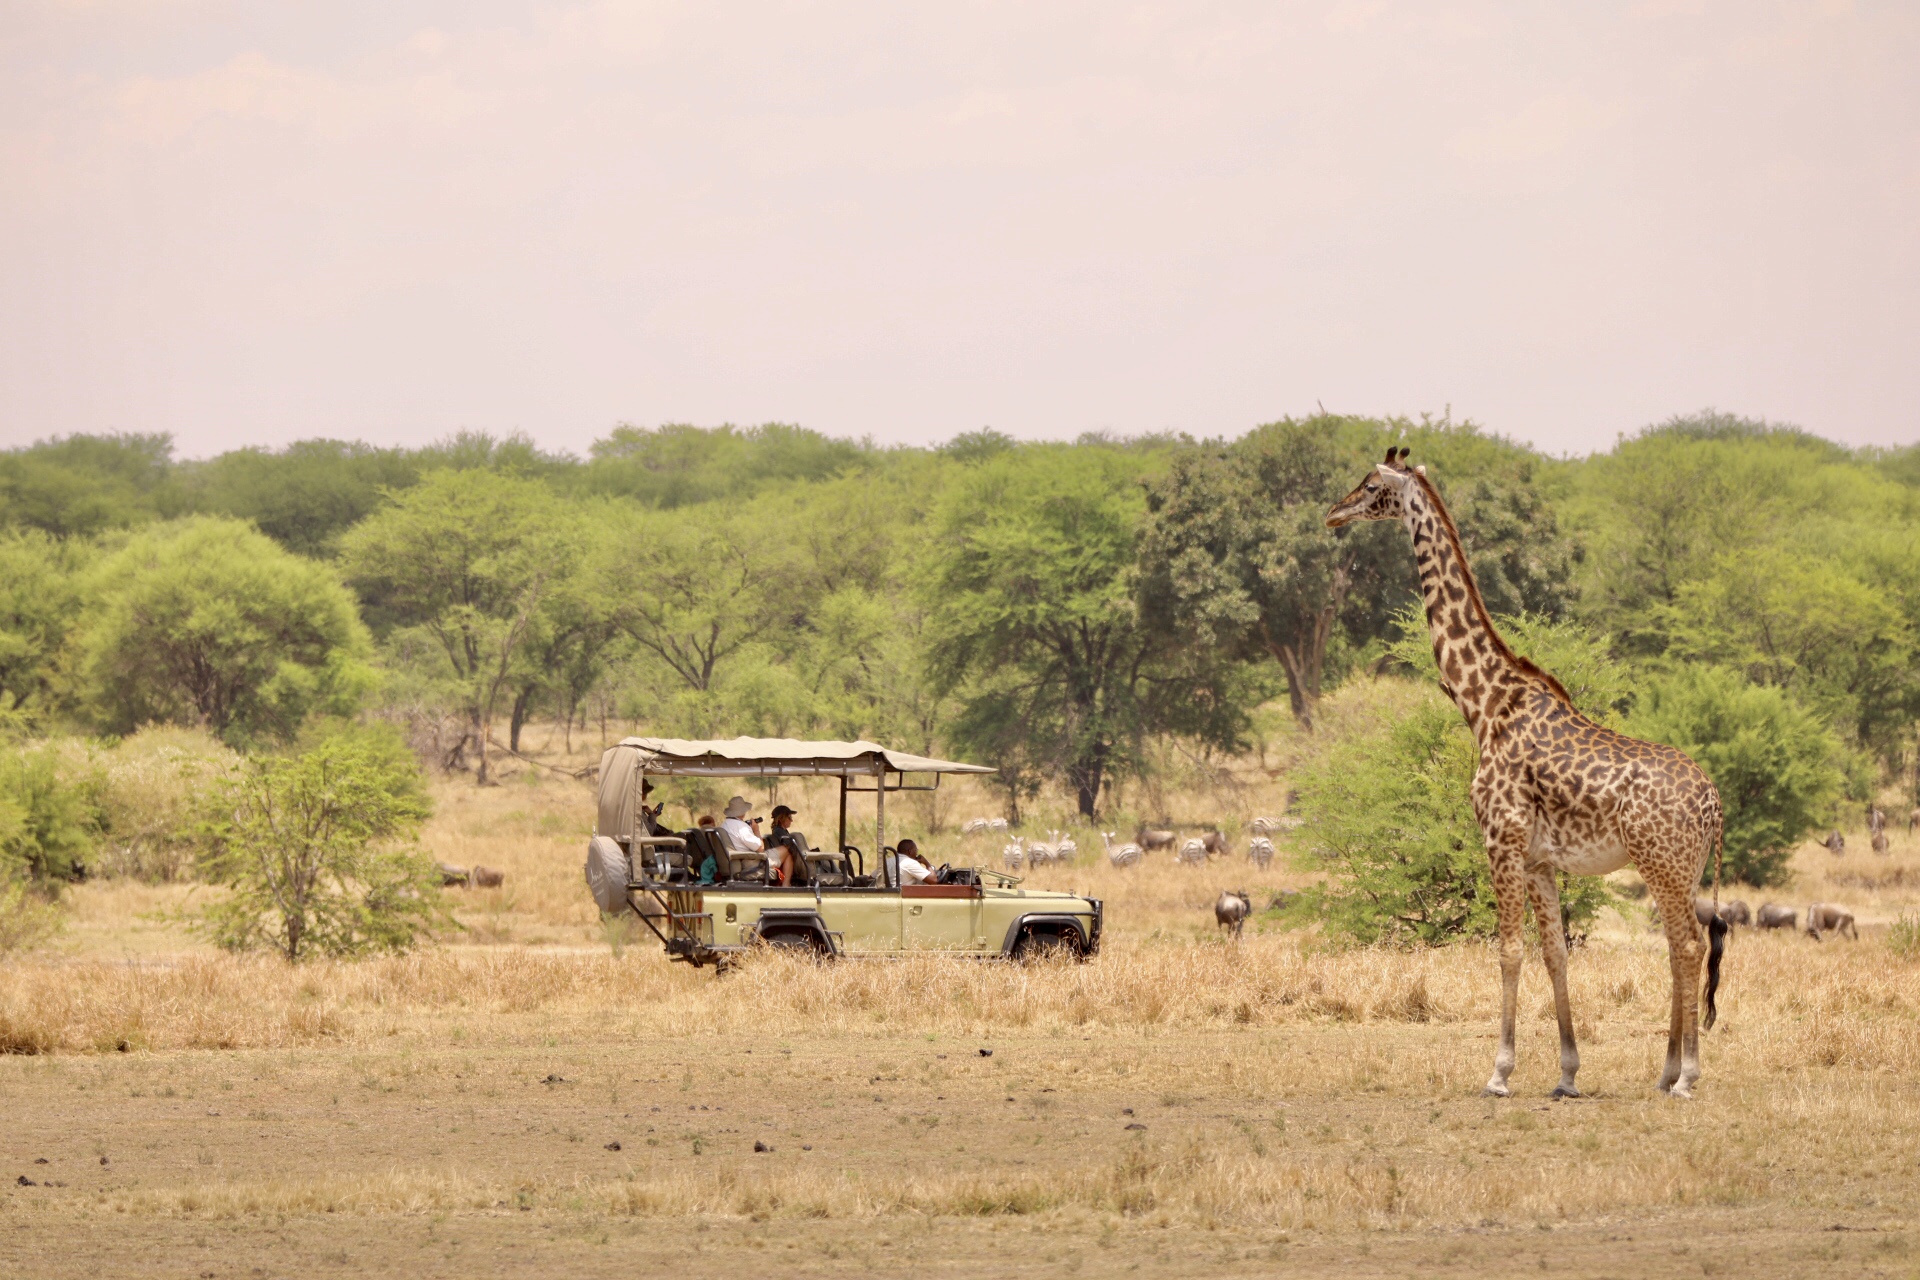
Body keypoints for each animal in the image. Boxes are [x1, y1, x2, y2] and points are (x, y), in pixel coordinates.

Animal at [1328, 450, 1735, 1105]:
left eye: (1370, 487)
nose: (1333, 514)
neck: (1484, 703)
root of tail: (1714, 802)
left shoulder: (1502, 838)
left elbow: (1509, 951)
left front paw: (1499, 1073)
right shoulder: (1543, 858)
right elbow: (1555, 955)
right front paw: (1567, 1073)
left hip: (1662, 864)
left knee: (1692, 946)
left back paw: (1687, 1077)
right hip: (1682, 867)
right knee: (1679, 947)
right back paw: (1667, 1071)